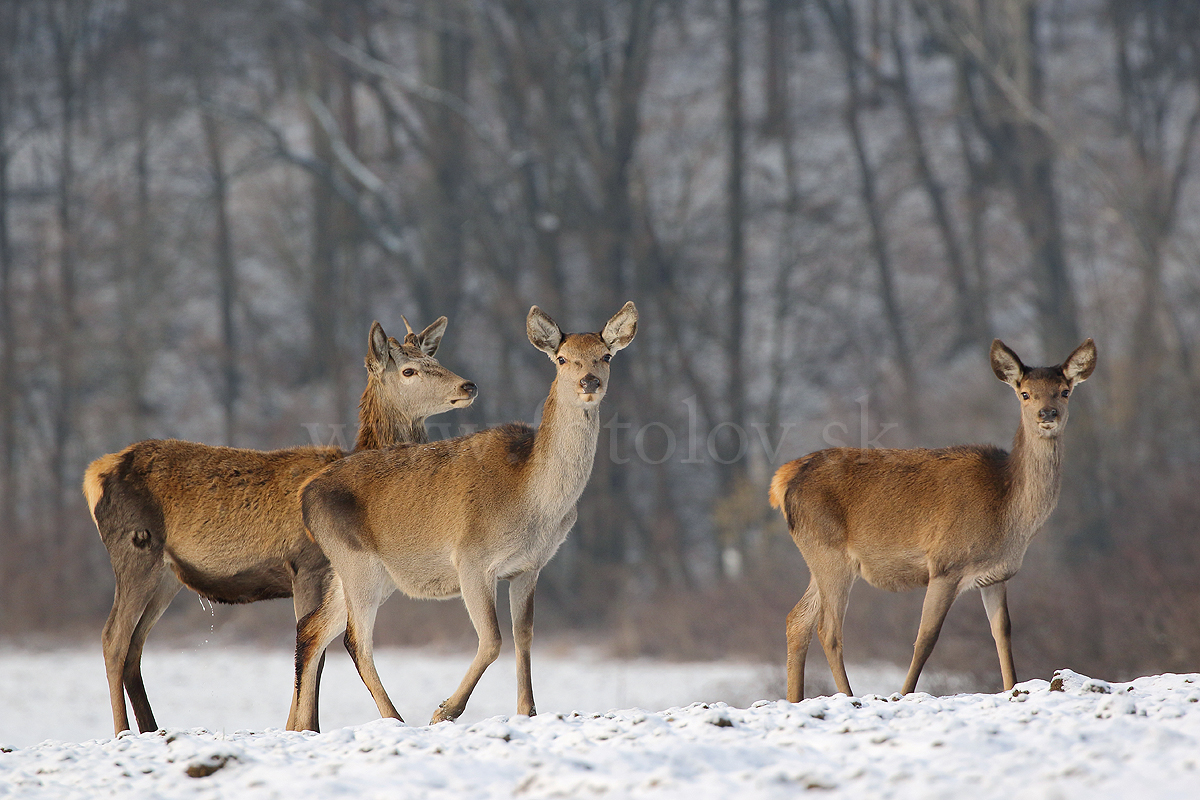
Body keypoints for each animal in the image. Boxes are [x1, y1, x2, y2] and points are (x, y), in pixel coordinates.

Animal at [83, 316, 477, 734]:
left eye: (435, 359)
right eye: (408, 371)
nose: (468, 385)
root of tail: (94, 474)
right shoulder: (306, 565)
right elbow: (314, 648)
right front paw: (305, 727)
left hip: (167, 576)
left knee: (135, 646)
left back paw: (150, 728)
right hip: (134, 549)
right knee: (113, 639)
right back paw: (122, 732)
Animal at [285, 299, 638, 734]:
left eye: (606, 355)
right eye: (561, 358)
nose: (589, 381)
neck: (534, 501)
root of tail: (305, 494)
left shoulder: (529, 567)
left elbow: (524, 636)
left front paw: (527, 710)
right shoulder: (472, 558)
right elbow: (493, 640)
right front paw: (445, 710)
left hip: (364, 572)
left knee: (313, 629)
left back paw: (303, 727)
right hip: (357, 561)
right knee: (355, 639)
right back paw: (395, 717)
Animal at [768, 338, 1099, 700]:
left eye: (1064, 391)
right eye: (1025, 393)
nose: (1047, 414)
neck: (1007, 510)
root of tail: (783, 479)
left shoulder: (997, 575)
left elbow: (1003, 633)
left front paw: (1012, 687)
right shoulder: (945, 564)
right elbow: (926, 638)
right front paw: (904, 693)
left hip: (819, 557)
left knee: (797, 620)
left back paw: (795, 698)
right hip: (829, 552)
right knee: (828, 629)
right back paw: (848, 695)